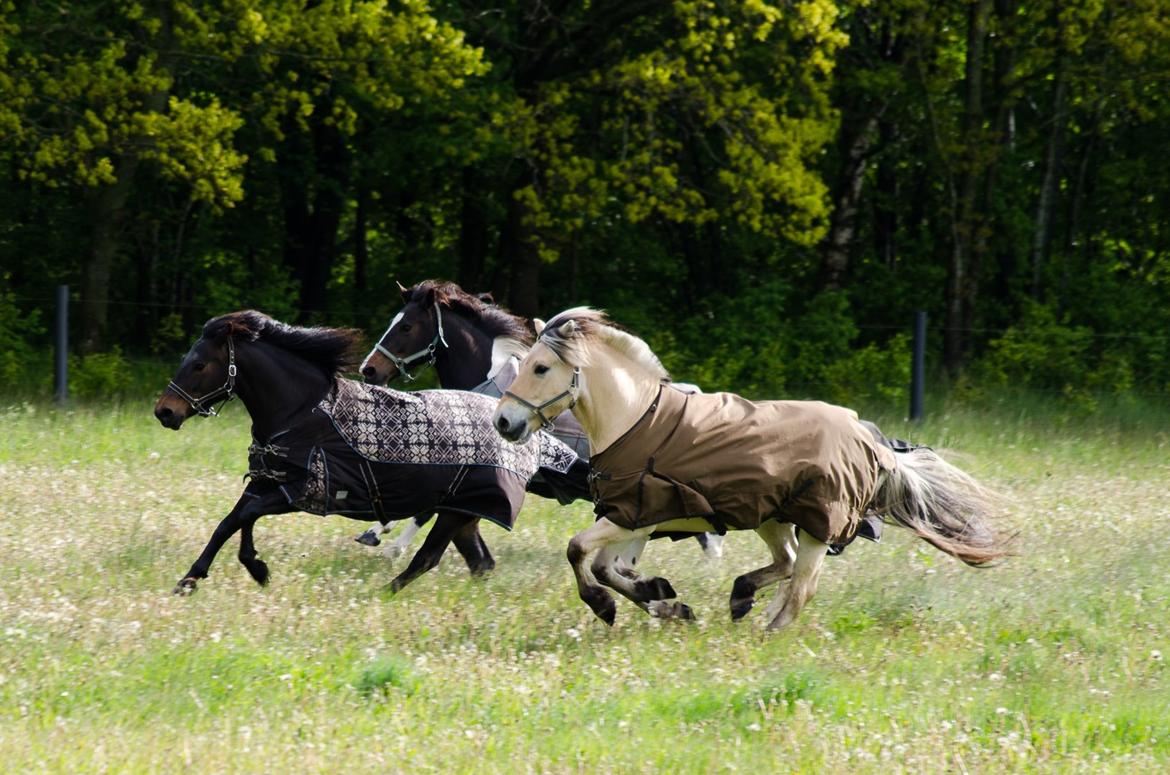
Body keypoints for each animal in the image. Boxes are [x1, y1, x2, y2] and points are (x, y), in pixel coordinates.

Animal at [155, 313, 575, 597]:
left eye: (199, 364)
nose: (165, 411)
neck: (301, 411)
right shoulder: (268, 480)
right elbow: (230, 521)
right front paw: (198, 578)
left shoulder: (303, 492)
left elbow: (244, 516)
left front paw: (249, 569)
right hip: (462, 511)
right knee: (478, 562)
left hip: (457, 511)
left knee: (429, 557)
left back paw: (380, 591)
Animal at [489, 309, 1010, 632]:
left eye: (540, 368)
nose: (504, 422)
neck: (636, 419)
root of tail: (873, 443)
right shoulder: (637, 517)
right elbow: (607, 566)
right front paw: (666, 602)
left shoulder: (630, 515)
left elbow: (580, 552)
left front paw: (609, 606)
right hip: (773, 518)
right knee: (786, 564)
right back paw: (741, 597)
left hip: (819, 524)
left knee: (801, 586)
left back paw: (766, 632)